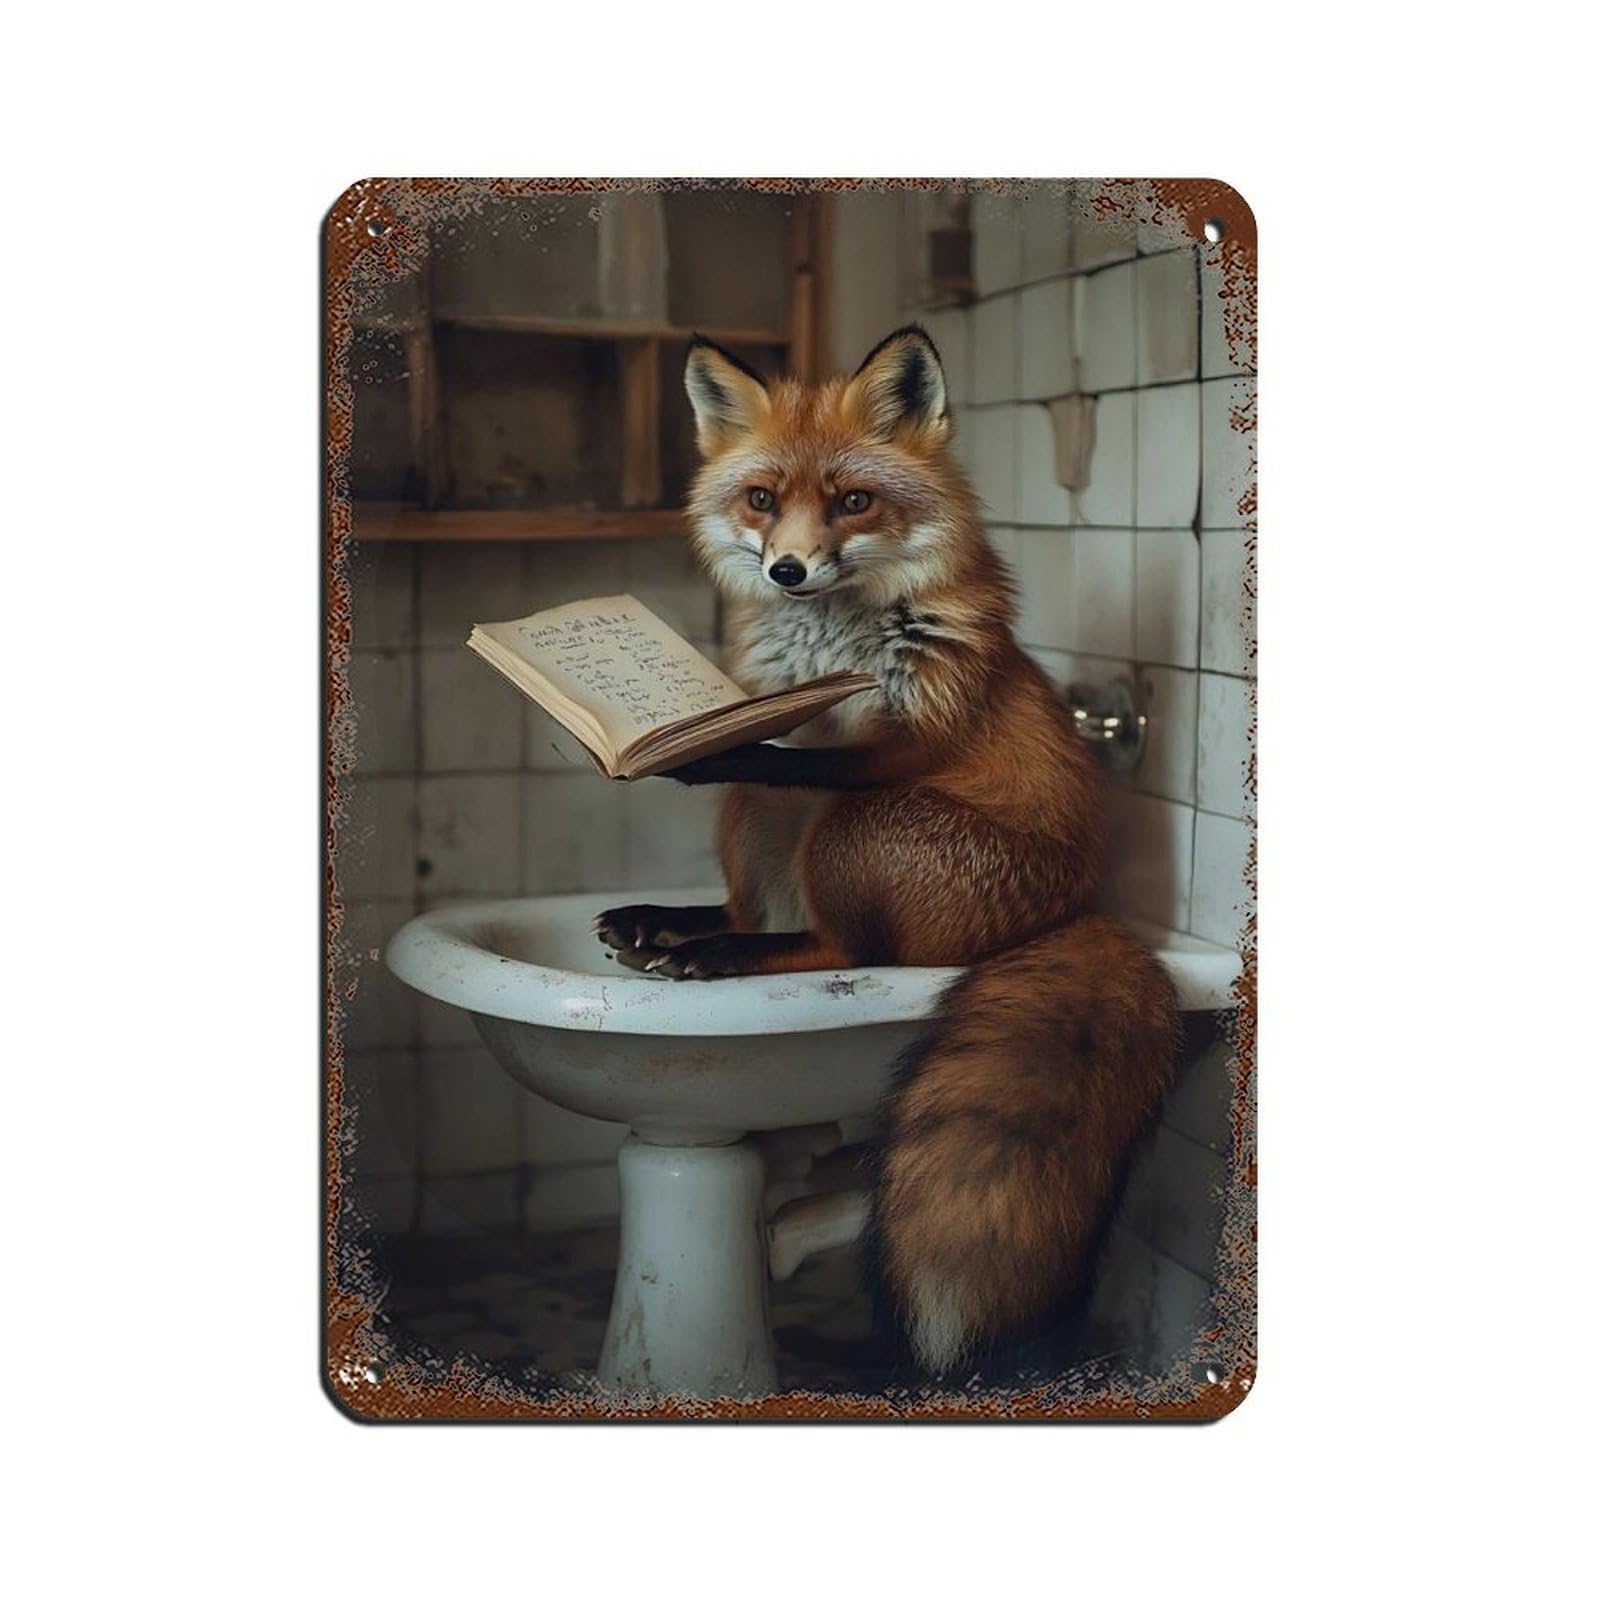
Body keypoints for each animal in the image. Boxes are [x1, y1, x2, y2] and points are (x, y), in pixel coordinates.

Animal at [594, 325, 1181, 1376]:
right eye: (761, 500)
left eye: (854, 502)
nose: (787, 570)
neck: (831, 648)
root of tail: (1075, 911)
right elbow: (780, 763)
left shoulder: (909, 740)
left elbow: (791, 758)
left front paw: (723, 743)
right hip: (755, 828)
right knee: (757, 909)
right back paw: (670, 928)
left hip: (855, 828)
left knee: (844, 946)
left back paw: (713, 955)